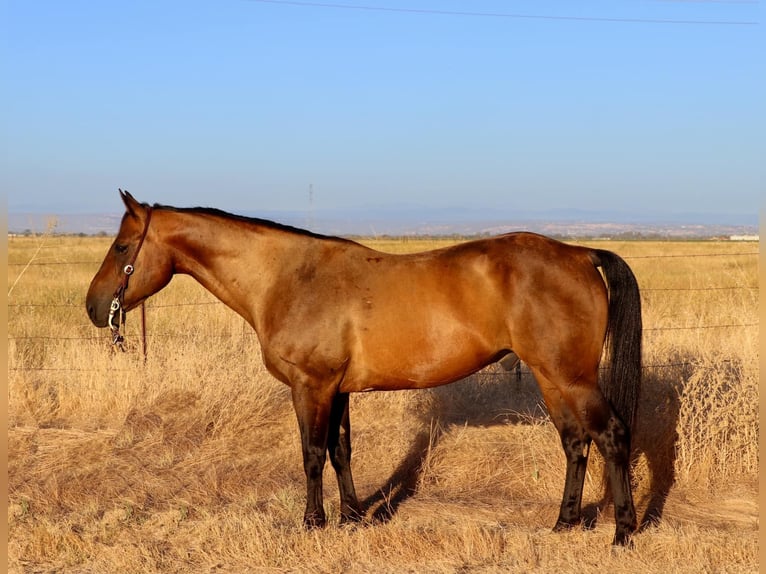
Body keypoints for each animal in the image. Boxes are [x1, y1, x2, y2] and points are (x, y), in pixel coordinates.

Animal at [86, 190, 642, 546]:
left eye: (121, 246)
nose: (93, 308)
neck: (287, 277)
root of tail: (579, 254)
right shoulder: (338, 389)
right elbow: (341, 451)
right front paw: (352, 517)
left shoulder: (311, 386)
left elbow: (312, 453)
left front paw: (313, 522)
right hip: (552, 379)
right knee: (575, 442)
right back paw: (564, 524)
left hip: (571, 378)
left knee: (611, 434)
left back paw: (623, 532)